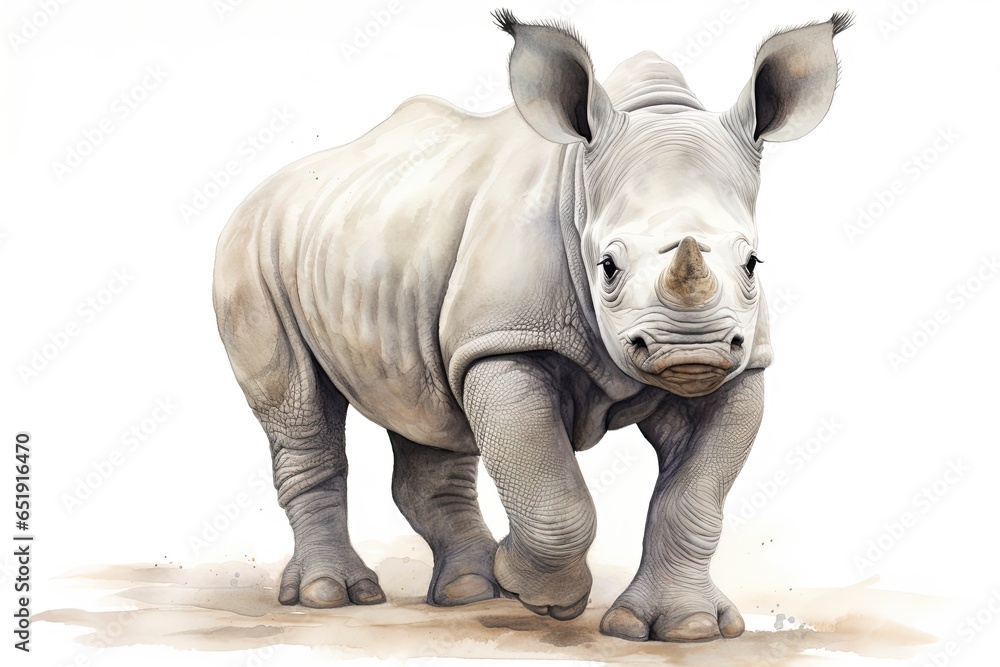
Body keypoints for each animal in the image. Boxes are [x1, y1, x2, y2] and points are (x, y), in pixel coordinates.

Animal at [213, 10, 850, 642]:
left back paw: (469, 591)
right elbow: (553, 500)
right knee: (300, 407)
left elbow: (693, 499)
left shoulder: (742, 365)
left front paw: (686, 628)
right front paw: (538, 593)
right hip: (250, 247)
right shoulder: (504, 341)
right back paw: (336, 596)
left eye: (752, 263)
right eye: (608, 265)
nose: (689, 348)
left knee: (427, 408)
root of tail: (261, 192)